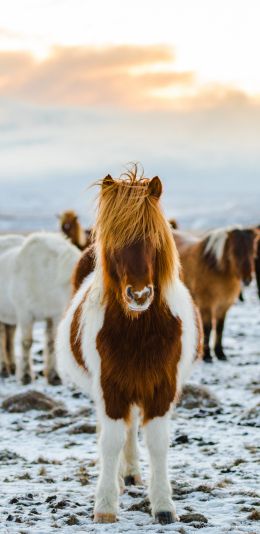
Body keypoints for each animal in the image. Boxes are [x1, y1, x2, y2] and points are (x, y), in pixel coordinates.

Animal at [0, 232, 80, 384]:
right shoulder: (25, 314)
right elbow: (27, 343)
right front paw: (26, 376)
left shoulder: (54, 315)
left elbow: (51, 343)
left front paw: (54, 376)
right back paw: (4, 370)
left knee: (9, 337)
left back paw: (12, 368)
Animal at [57, 171, 202, 528]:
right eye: (114, 242)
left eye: (154, 238)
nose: (139, 295)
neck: (138, 330)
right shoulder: (110, 388)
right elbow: (110, 442)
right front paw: (106, 504)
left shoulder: (161, 388)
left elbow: (157, 443)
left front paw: (163, 505)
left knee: (131, 428)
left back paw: (132, 474)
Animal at [174, 226, 258, 364]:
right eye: (235, 251)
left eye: (253, 251)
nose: (247, 280)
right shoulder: (207, 305)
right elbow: (208, 328)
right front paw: (208, 356)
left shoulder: (223, 306)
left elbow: (219, 328)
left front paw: (220, 354)